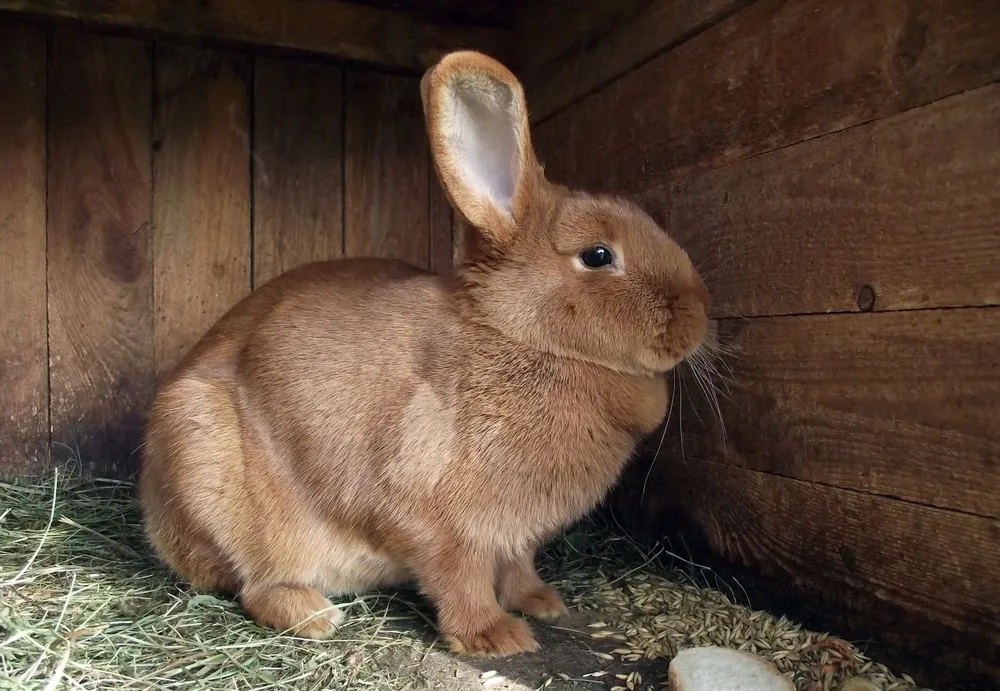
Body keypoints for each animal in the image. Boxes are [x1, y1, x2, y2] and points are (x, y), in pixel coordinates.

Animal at [138, 50, 710, 658]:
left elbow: (518, 568)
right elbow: (458, 575)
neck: (522, 336)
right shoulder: (435, 513)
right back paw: (313, 615)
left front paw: (542, 603)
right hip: (205, 461)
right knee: (252, 582)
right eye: (598, 255)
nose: (699, 314)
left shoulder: (516, 536)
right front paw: (496, 637)